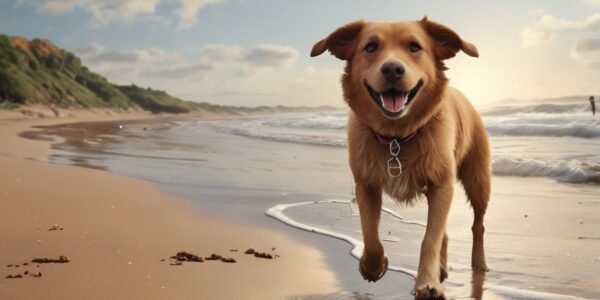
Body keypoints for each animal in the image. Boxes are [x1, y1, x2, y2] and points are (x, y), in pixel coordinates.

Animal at [312, 17, 490, 298]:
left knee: (477, 224)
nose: (393, 69)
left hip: (478, 179)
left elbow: (430, 238)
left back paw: (478, 264)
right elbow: (370, 232)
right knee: (446, 231)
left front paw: (427, 282)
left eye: (414, 47)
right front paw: (373, 266)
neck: (397, 136)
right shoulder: (366, 184)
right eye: (370, 47)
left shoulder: (442, 184)